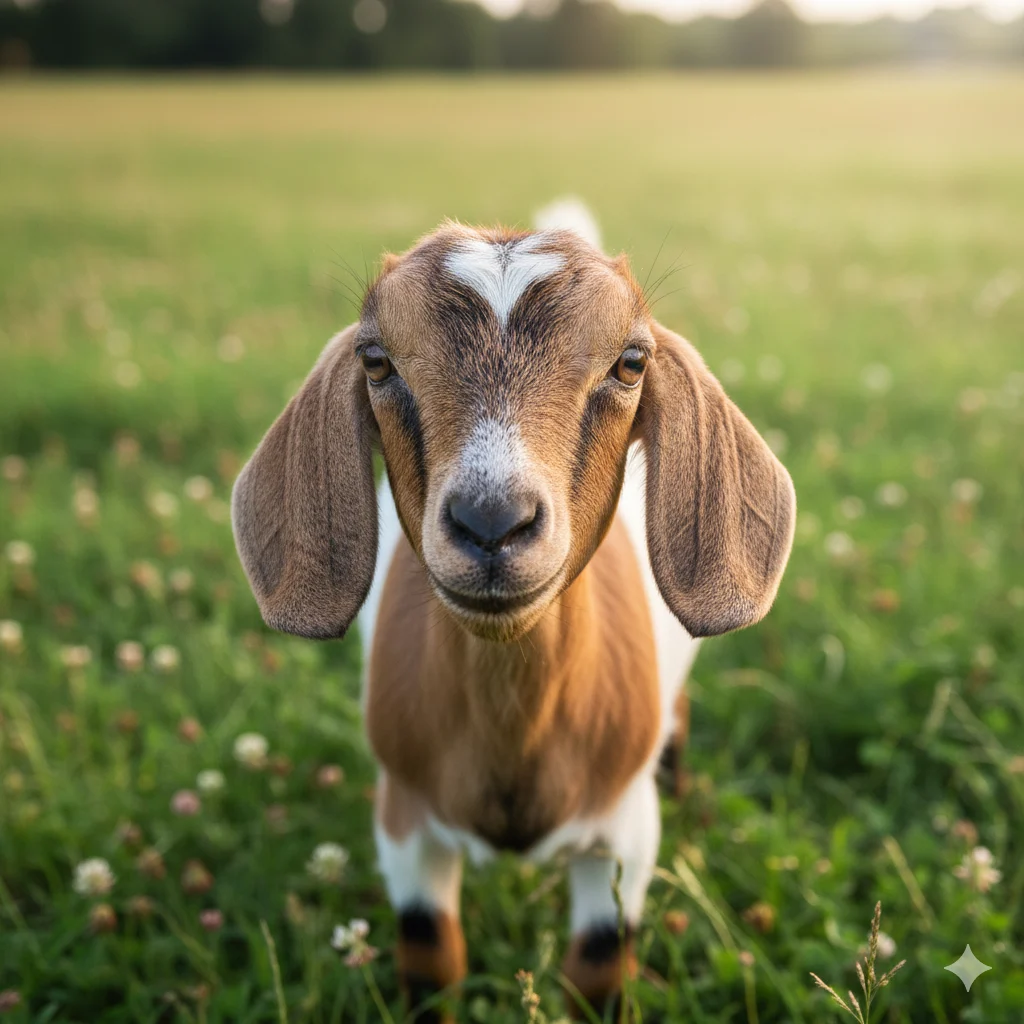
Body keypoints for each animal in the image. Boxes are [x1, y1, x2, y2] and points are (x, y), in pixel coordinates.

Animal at [232, 205, 796, 1020]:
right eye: (377, 361)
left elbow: (597, 973)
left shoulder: (623, 838)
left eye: (630, 362)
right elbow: (430, 961)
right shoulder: (403, 821)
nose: (492, 522)